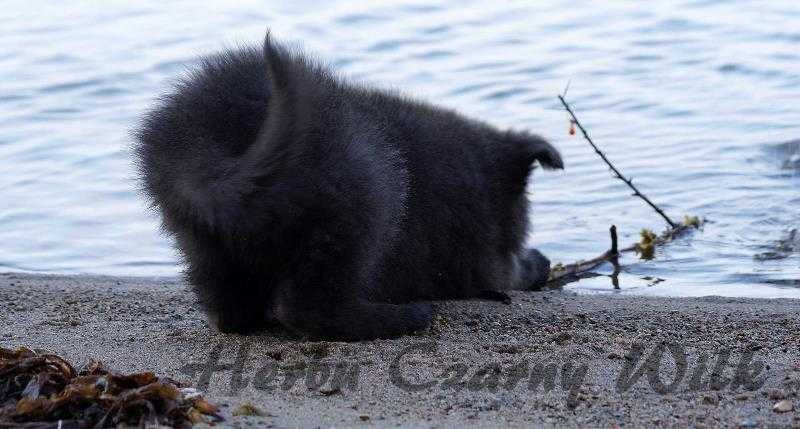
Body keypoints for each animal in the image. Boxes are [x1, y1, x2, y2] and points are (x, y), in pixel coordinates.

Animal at [133, 34, 563, 340]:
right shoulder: (484, 258)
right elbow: (509, 273)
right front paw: (539, 262)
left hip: (199, 232)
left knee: (229, 306)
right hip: (369, 186)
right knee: (310, 305)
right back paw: (401, 318)